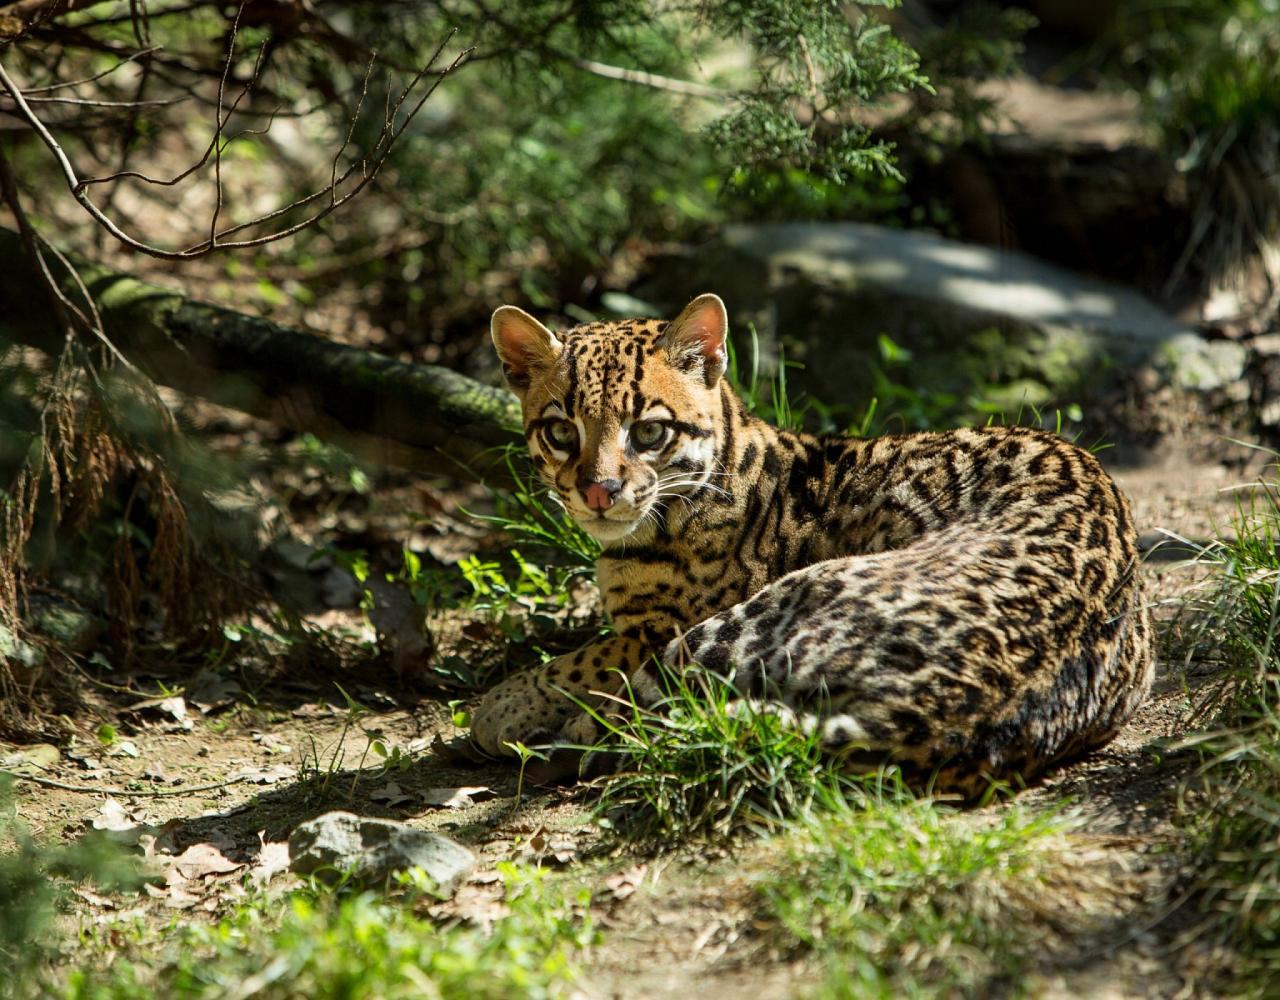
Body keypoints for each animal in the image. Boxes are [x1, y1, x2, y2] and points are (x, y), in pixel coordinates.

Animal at [468, 293, 1152, 793]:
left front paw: (502, 703)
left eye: (649, 432)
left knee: (662, 704)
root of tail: (932, 719)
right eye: (561, 432)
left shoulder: (655, 631)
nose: (599, 492)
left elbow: (583, 658)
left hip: (753, 617)